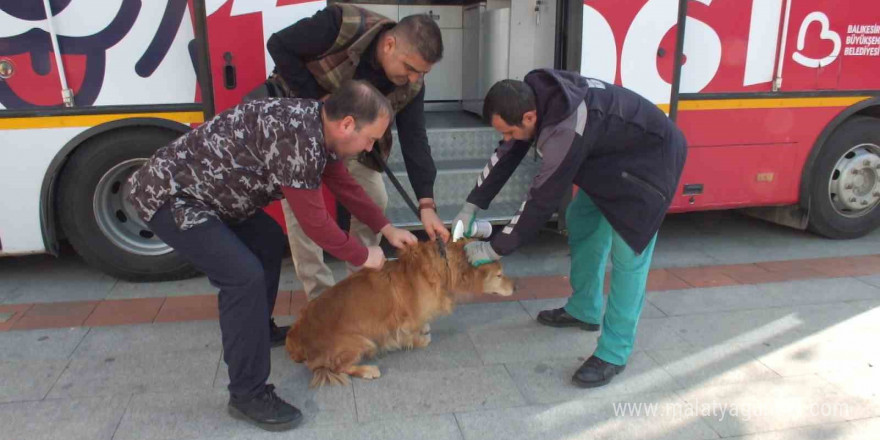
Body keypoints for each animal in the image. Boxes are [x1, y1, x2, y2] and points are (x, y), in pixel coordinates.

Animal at [286, 239, 512, 386]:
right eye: (499, 275)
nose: (516, 287)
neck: (440, 267)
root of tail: (297, 336)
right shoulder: (404, 321)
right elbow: (409, 334)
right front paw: (420, 339)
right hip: (361, 342)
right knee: (337, 367)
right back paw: (367, 370)